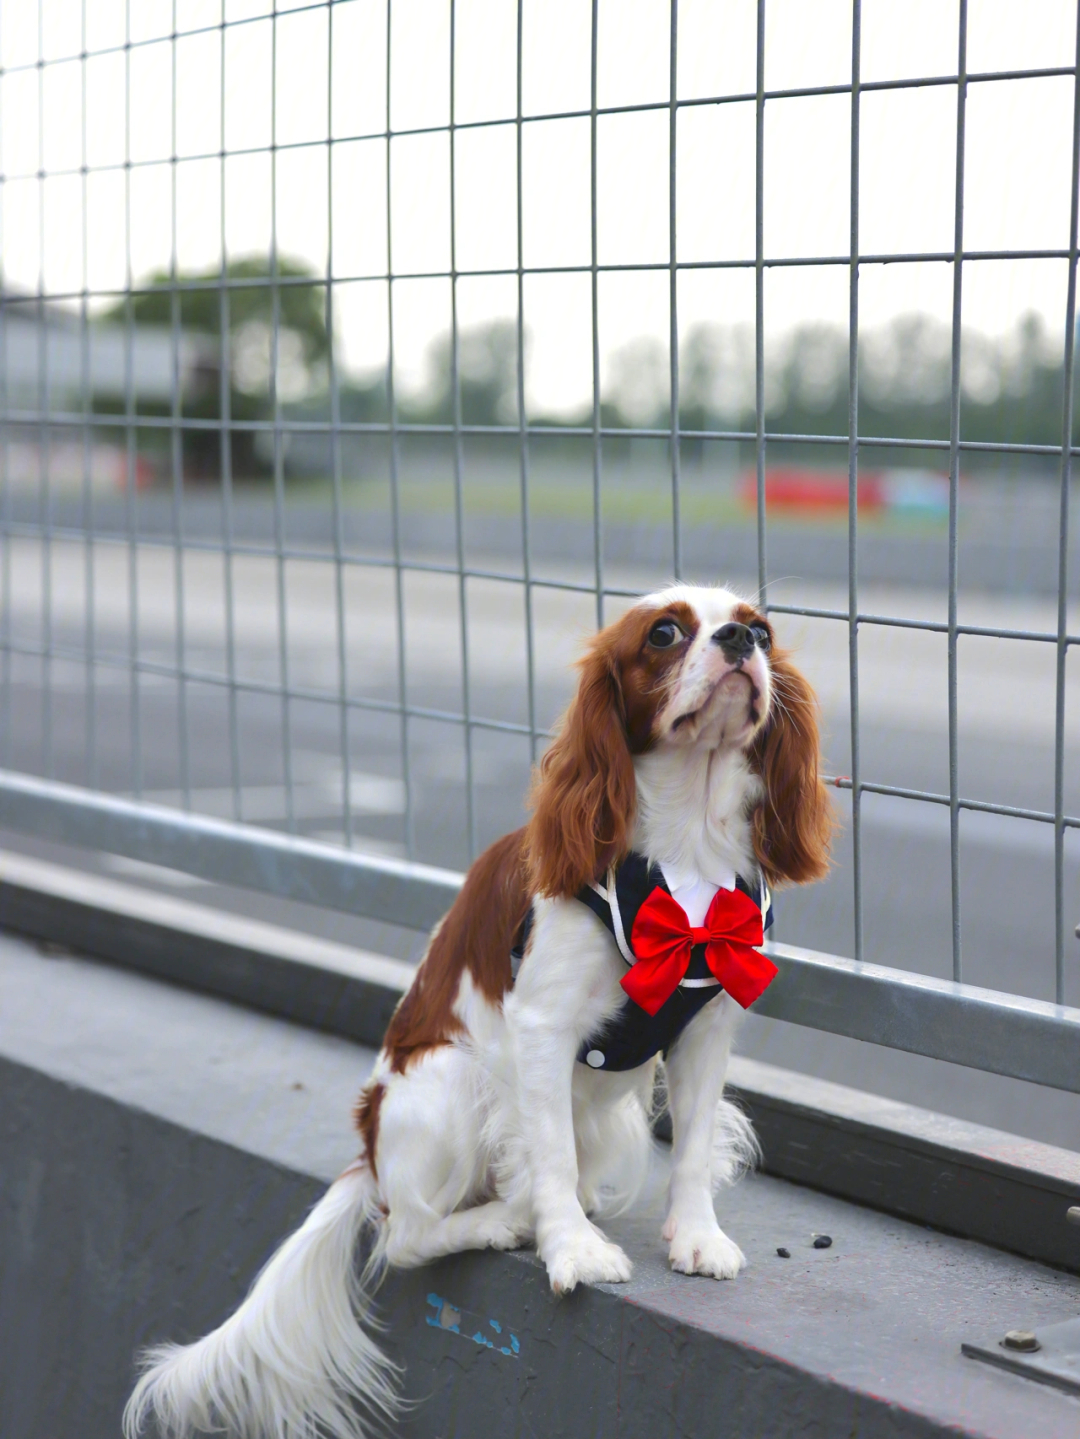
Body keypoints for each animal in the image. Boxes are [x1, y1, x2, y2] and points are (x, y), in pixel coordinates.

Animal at [126, 584, 834, 1439]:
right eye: (665, 633)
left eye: (760, 628)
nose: (739, 641)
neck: (684, 852)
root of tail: (369, 1161)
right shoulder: (542, 1031)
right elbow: (551, 1154)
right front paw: (573, 1250)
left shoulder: (704, 1029)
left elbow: (694, 1146)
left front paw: (697, 1237)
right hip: (449, 1081)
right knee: (406, 1234)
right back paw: (506, 1218)